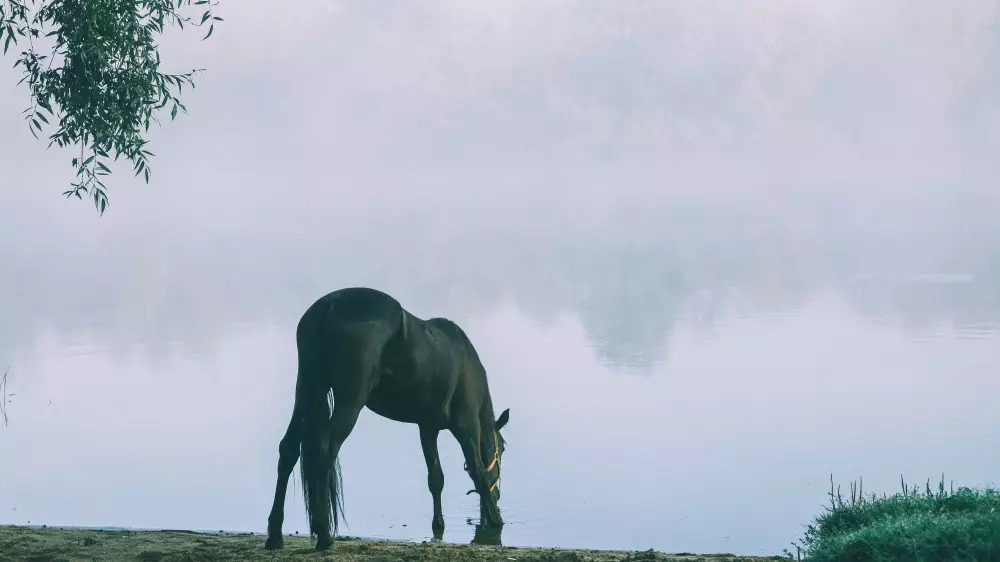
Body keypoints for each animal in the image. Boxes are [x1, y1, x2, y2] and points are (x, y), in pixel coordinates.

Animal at [264, 286, 508, 548]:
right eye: (502, 450)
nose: (498, 495)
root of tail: (330, 305)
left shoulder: (427, 428)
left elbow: (436, 479)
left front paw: (439, 525)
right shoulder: (467, 426)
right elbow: (478, 472)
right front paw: (496, 521)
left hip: (308, 390)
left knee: (289, 449)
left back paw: (275, 534)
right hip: (350, 402)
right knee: (325, 452)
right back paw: (324, 535)